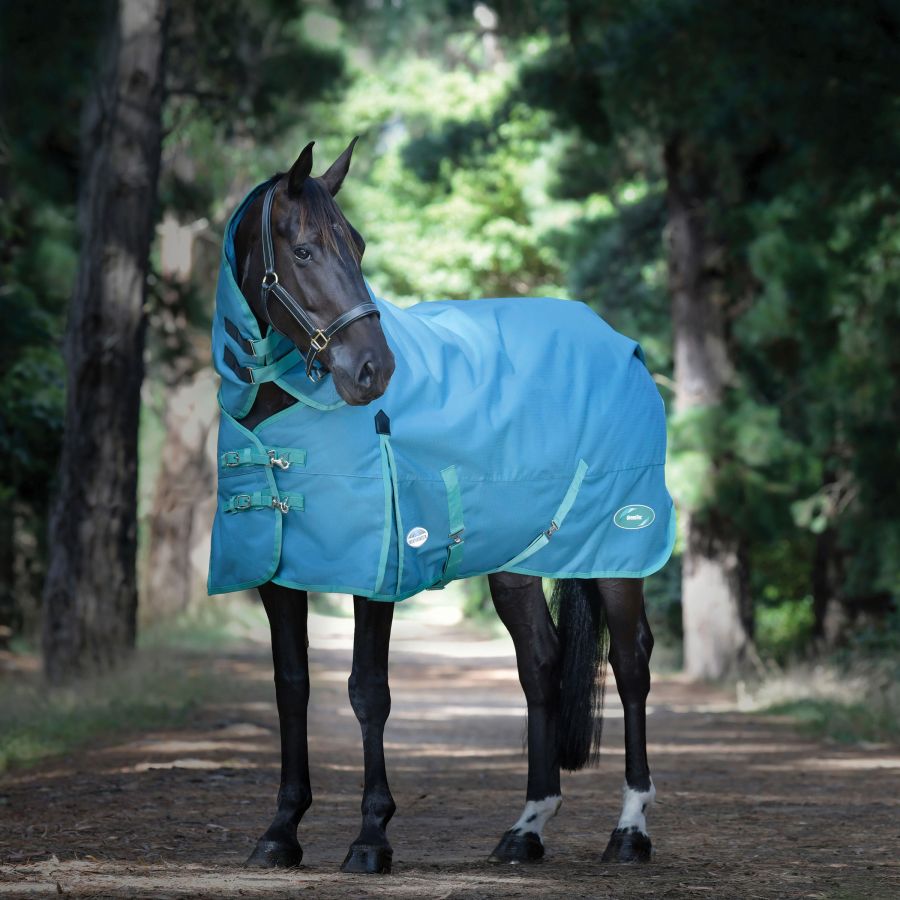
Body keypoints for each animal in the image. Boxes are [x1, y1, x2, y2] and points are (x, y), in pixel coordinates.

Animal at [208, 139, 671, 873]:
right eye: (303, 251)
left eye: (358, 246)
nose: (374, 370)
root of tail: (622, 346)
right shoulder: (279, 574)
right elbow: (292, 687)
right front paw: (280, 831)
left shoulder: (375, 568)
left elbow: (368, 691)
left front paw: (371, 837)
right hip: (519, 561)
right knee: (540, 664)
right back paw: (526, 829)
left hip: (618, 550)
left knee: (631, 664)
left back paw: (630, 831)